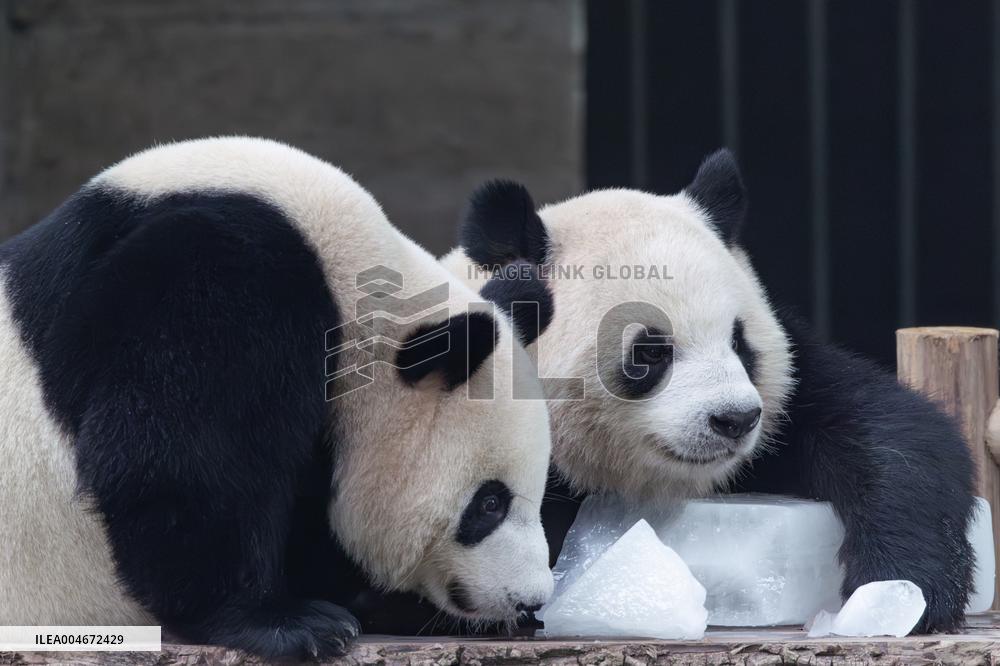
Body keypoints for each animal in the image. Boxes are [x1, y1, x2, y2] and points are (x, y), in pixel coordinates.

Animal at [439, 148, 977, 634]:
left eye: (739, 342)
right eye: (649, 353)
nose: (734, 419)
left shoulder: (793, 386)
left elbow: (889, 432)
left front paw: (895, 591)